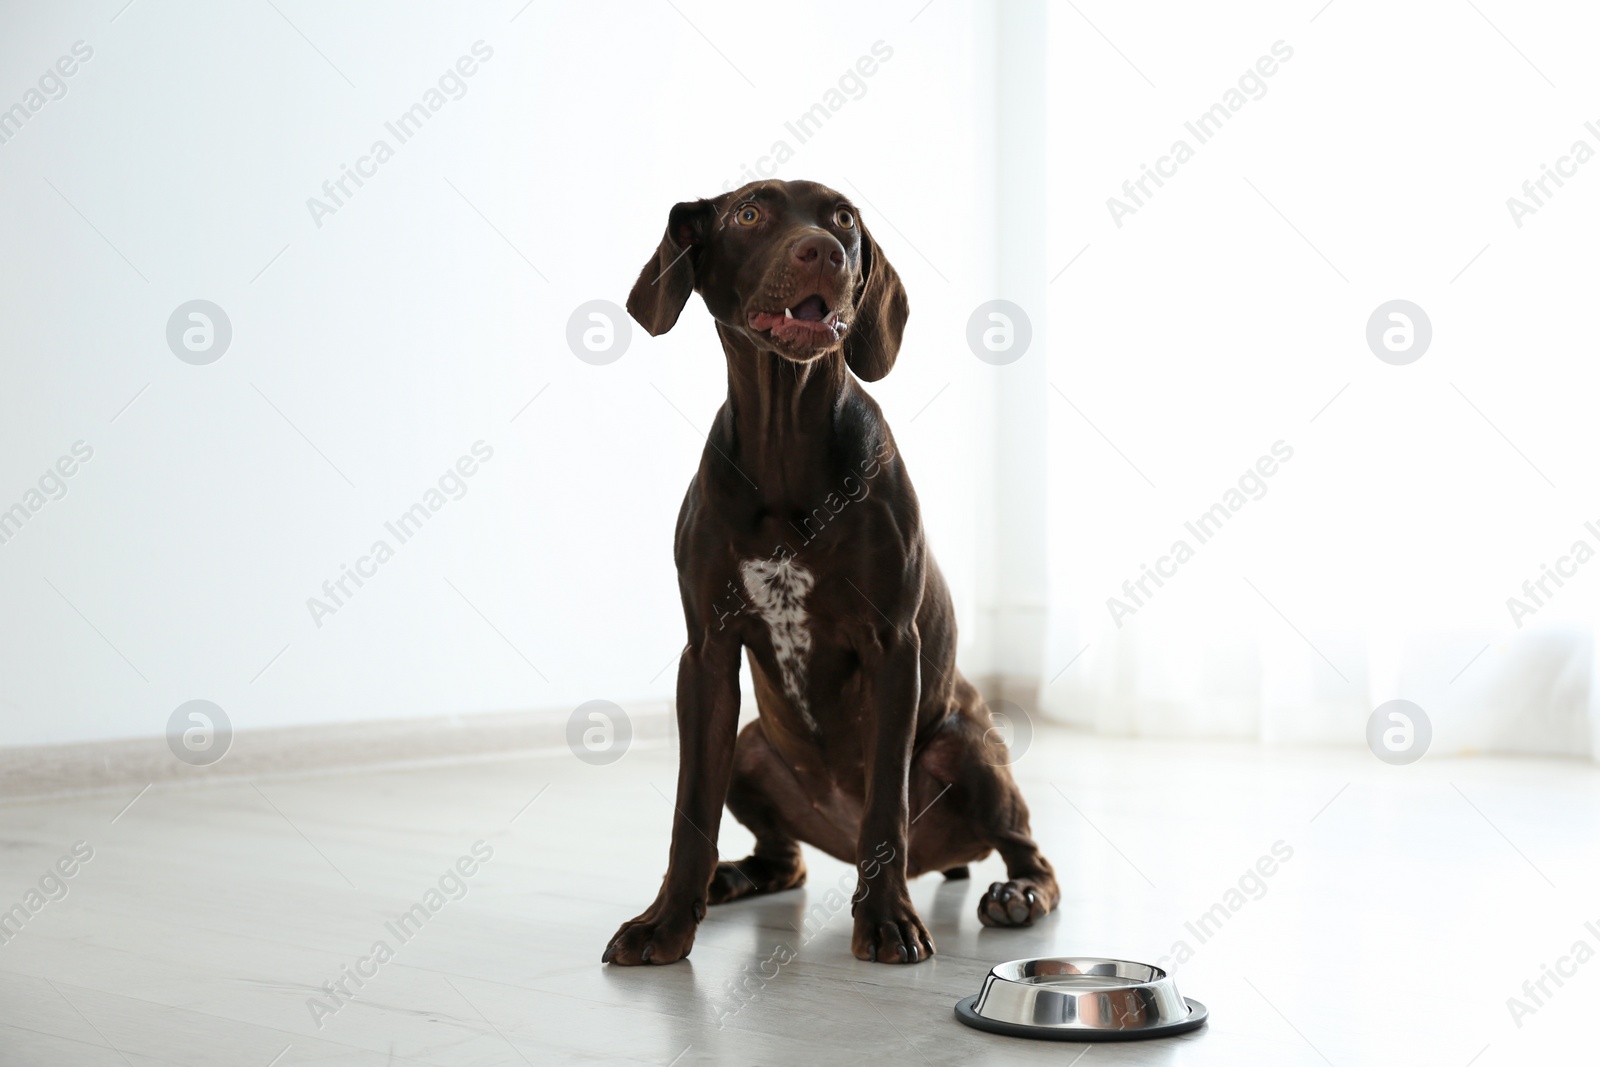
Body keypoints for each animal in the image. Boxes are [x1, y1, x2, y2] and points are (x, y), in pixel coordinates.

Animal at [604, 179, 1056, 966]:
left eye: (842, 216)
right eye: (748, 214)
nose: (824, 250)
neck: (787, 444)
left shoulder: (893, 646)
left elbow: (886, 809)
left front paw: (885, 919)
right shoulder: (707, 656)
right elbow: (691, 813)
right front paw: (665, 923)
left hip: (965, 745)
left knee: (1028, 851)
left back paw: (1016, 894)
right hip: (751, 748)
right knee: (786, 859)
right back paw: (732, 879)